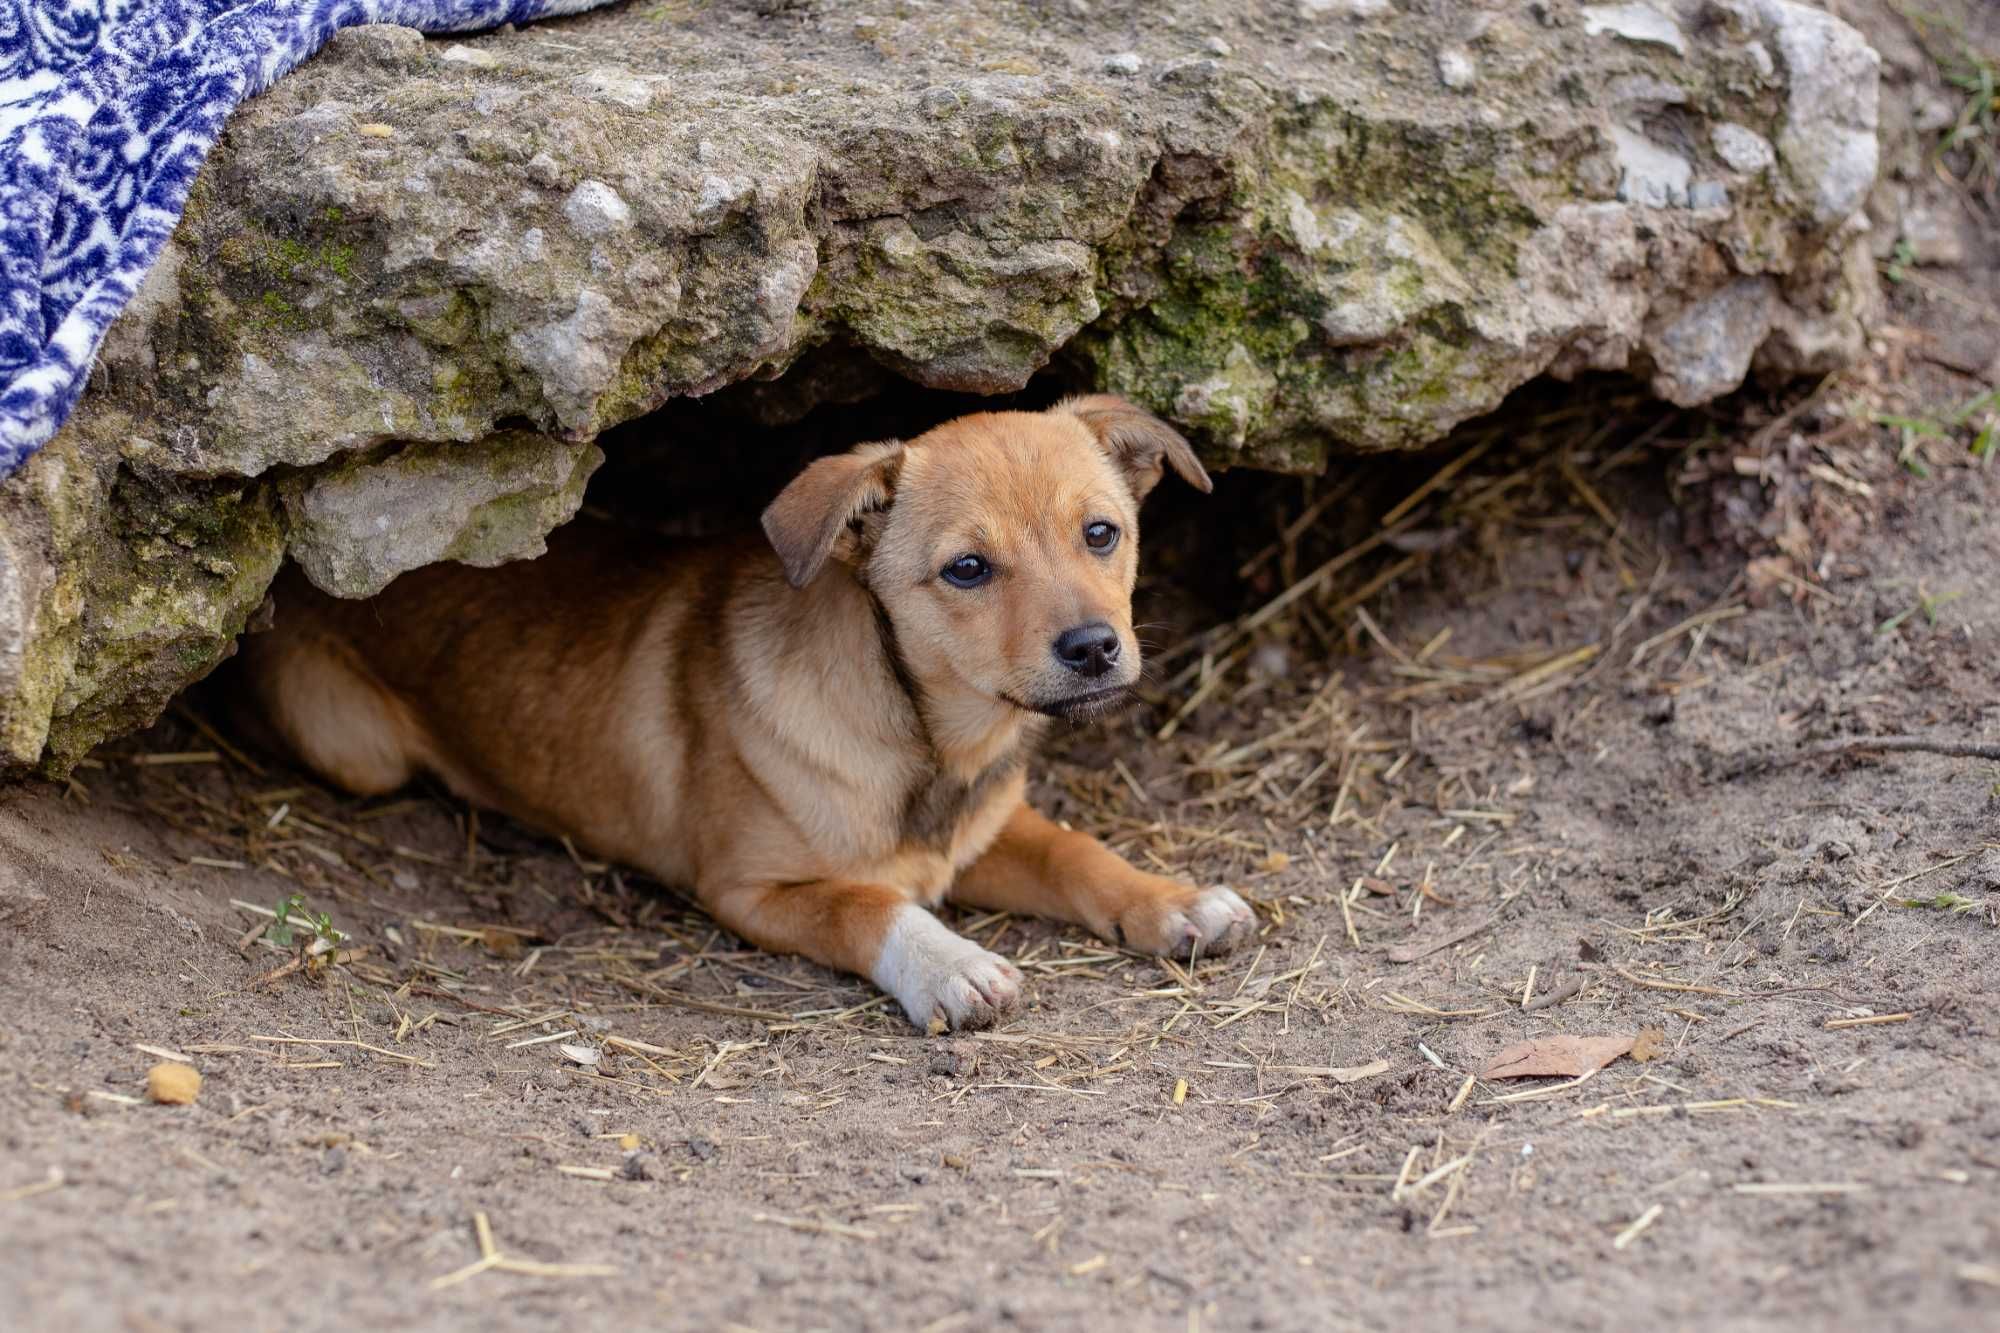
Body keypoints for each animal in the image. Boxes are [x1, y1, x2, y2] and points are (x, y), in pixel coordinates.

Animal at [234, 394, 1248, 1024]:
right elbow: (870, 906)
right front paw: (949, 964)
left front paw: (1176, 900)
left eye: (1101, 533)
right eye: (967, 568)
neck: (926, 745)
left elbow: (1078, 852)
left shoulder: (988, 831)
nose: (1093, 648)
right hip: (353, 748)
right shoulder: (753, 890)